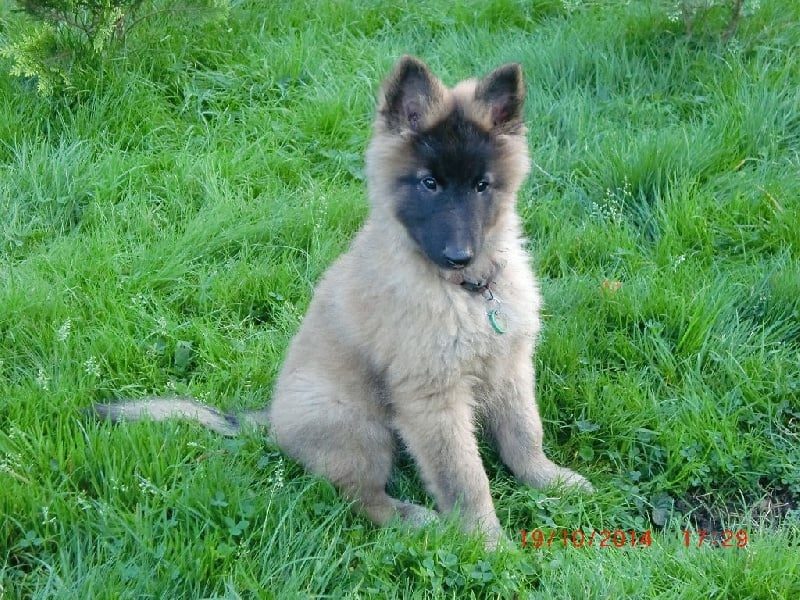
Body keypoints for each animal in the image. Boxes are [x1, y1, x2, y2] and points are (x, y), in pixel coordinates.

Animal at [93, 56, 592, 548]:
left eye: (482, 186)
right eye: (429, 184)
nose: (459, 254)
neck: (466, 292)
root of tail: (270, 421)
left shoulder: (510, 366)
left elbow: (524, 433)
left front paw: (548, 480)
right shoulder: (433, 400)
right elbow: (465, 477)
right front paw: (487, 542)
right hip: (360, 429)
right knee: (362, 498)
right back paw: (415, 520)